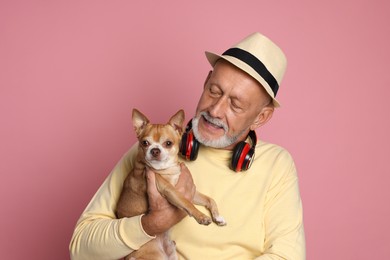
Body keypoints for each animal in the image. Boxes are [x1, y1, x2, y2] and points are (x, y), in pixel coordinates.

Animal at [116, 108, 225, 258]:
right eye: (145, 143)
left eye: (168, 143)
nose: (155, 150)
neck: (167, 169)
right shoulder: (170, 190)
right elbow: (186, 203)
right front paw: (201, 217)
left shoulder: (191, 192)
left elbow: (209, 199)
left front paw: (217, 217)